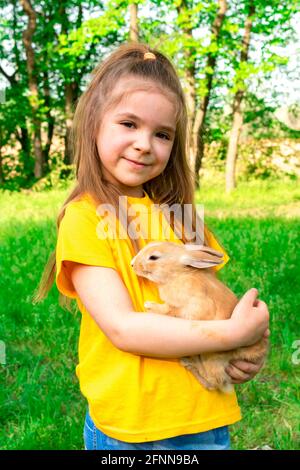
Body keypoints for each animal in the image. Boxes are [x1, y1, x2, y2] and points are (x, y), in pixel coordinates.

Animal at [130, 242, 268, 392]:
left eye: (153, 257)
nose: (132, 264)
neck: (178, 275)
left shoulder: (190, 308)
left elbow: (169, 310)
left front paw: (149, 305)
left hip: (212, 355)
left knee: (214, 382)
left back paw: (190, 363)